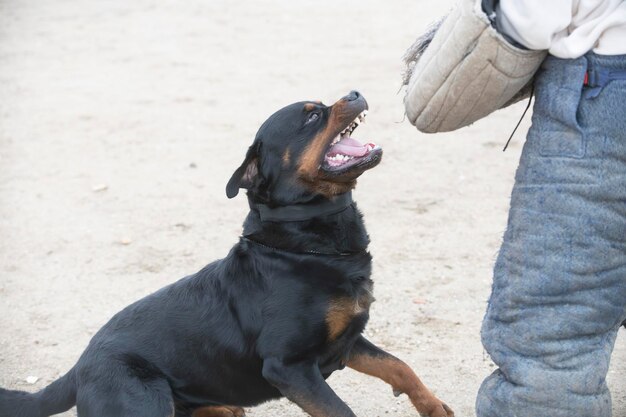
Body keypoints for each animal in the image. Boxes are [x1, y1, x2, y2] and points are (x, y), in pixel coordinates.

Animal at [0, 91, 448, 416]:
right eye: (311, 117)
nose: (353, 92)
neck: (305, 245)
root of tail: (78, 369)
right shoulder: (289, 366)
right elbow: (343, 411)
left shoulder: (346, 340)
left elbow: (399, 366)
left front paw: (434, 407)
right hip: (143, 398)